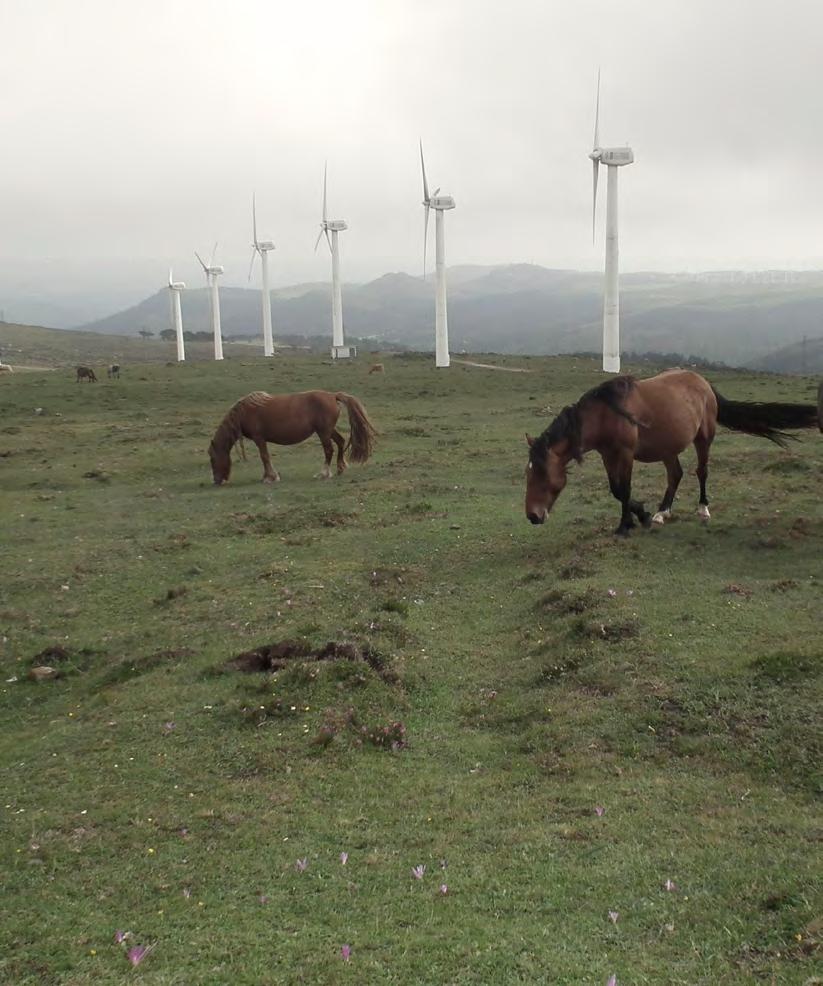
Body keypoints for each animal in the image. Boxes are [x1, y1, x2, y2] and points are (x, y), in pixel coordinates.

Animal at [212, 390, 380, 486]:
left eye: (212, 459)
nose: (216, 481)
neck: (244, 412)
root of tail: (333, 396)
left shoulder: (259, 439)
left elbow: (264, 456)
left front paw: (270, 477)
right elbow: (265, 457)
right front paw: (268, 476)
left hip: (323, 432)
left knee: (329, 450)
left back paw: (324, 474)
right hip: (328, 430)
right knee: (340, 442)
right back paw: (340, 468)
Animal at [524, 368, 820, 540]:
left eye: (542, 474)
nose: (532, 516)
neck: (606, 414)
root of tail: (703, 383)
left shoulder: (625, 454)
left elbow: (625, 489)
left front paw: (626, 525)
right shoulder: (608, 455)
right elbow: (617, 490)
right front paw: (642, 515)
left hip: (704, 438)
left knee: (701, 471)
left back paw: (703, 509)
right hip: (668, 447)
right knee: (675, 475)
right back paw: (661, 512)